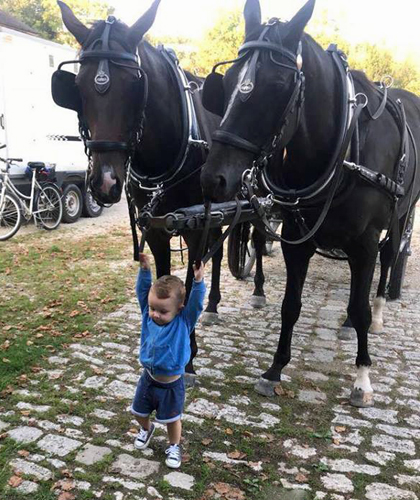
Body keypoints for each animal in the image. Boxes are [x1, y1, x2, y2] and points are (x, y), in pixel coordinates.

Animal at [199, 0, 420, 406]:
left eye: (277, 85)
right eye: (230, 79)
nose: (213, 178)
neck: (345, 142)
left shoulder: (365, 241)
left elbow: (360, 306)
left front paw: (362, 378)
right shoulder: (296, 238)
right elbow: (291, 305)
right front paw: (275, 369)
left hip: (401, 215)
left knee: (387, 260)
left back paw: (380, 311)